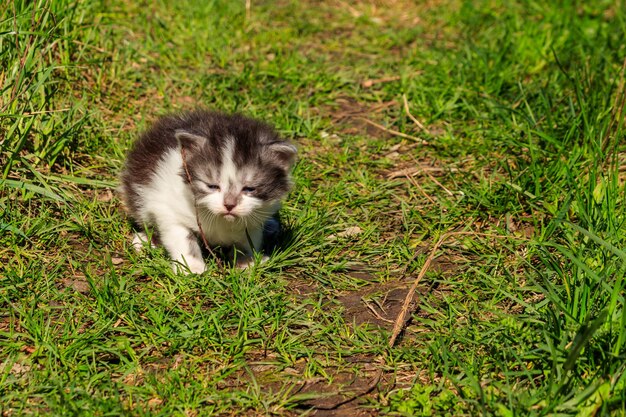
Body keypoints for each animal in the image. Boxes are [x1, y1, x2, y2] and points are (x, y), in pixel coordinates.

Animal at [120, 109, 298, 272]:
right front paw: (191, 267)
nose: (229, 205)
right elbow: (183, 236)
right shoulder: (167, 205)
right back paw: (144, 240)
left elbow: (249, 237)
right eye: (212, 186)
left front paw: (246, 260)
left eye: (249, 188)